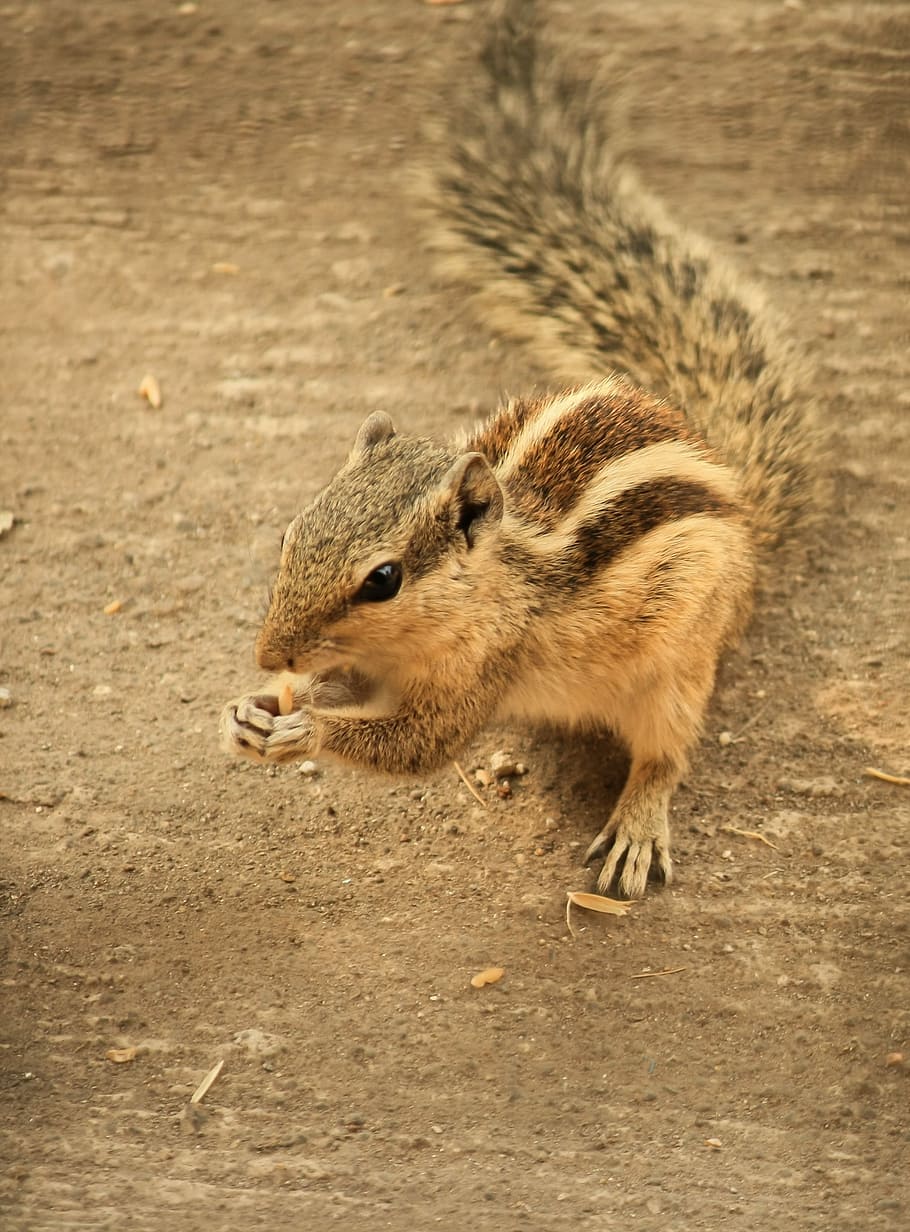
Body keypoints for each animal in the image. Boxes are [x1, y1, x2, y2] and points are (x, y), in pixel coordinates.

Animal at [220, 1, 819, 898]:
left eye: (383, 581)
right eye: (291, 534)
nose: (270, 649)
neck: (491, 581)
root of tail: (733, 489)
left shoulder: (484, 669)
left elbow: (420, 747)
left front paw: (308, 732)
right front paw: (261, 706)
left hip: (683, 661)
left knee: (667, 753)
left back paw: (637, 827)